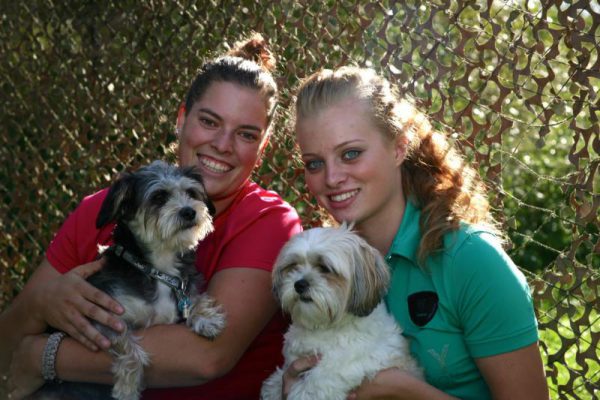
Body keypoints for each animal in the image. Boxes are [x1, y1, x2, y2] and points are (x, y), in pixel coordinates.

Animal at [34, 160, 229, 400]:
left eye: (191, 193)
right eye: (158, 197)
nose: (189, 211)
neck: (158, 269)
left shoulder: (181, 293)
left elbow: (196, 297)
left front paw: (206, 318)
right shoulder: (100, 320)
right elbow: (128, 348)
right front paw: (127, 389)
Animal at [262, 225, 422, 400]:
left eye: (325, 268)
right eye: (293, 266)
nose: (299, 284)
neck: (324, 326)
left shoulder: (354, 360)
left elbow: (319, 380)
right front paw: (274, 387)